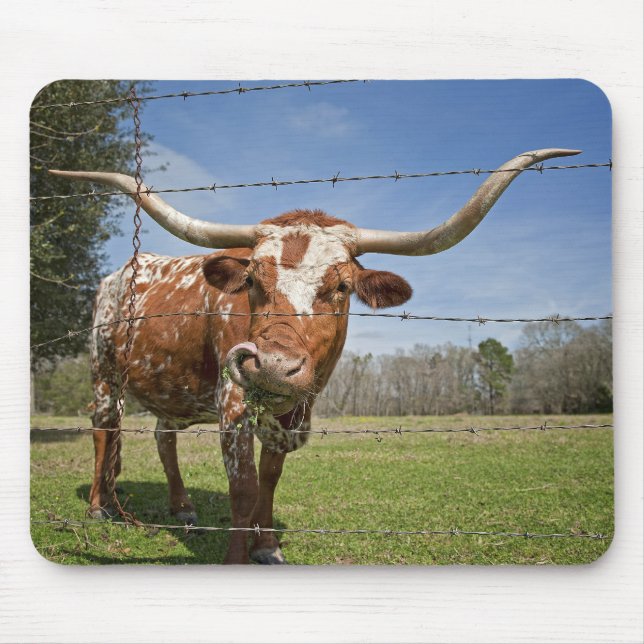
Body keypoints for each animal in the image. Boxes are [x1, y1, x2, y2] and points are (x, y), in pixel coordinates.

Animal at [50, 148, 579, 564]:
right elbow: (243, 487)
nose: (272, 365)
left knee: (163, 436)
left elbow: (269, 477)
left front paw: (266, 546)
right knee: (103, 431)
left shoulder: (291, 413)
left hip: (171, 388)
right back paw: (99, 507)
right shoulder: (234, 404)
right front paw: (238, 557)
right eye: (252, 280)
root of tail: (123, 270)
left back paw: (181, 508)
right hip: (103, 374)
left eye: (342, 287)